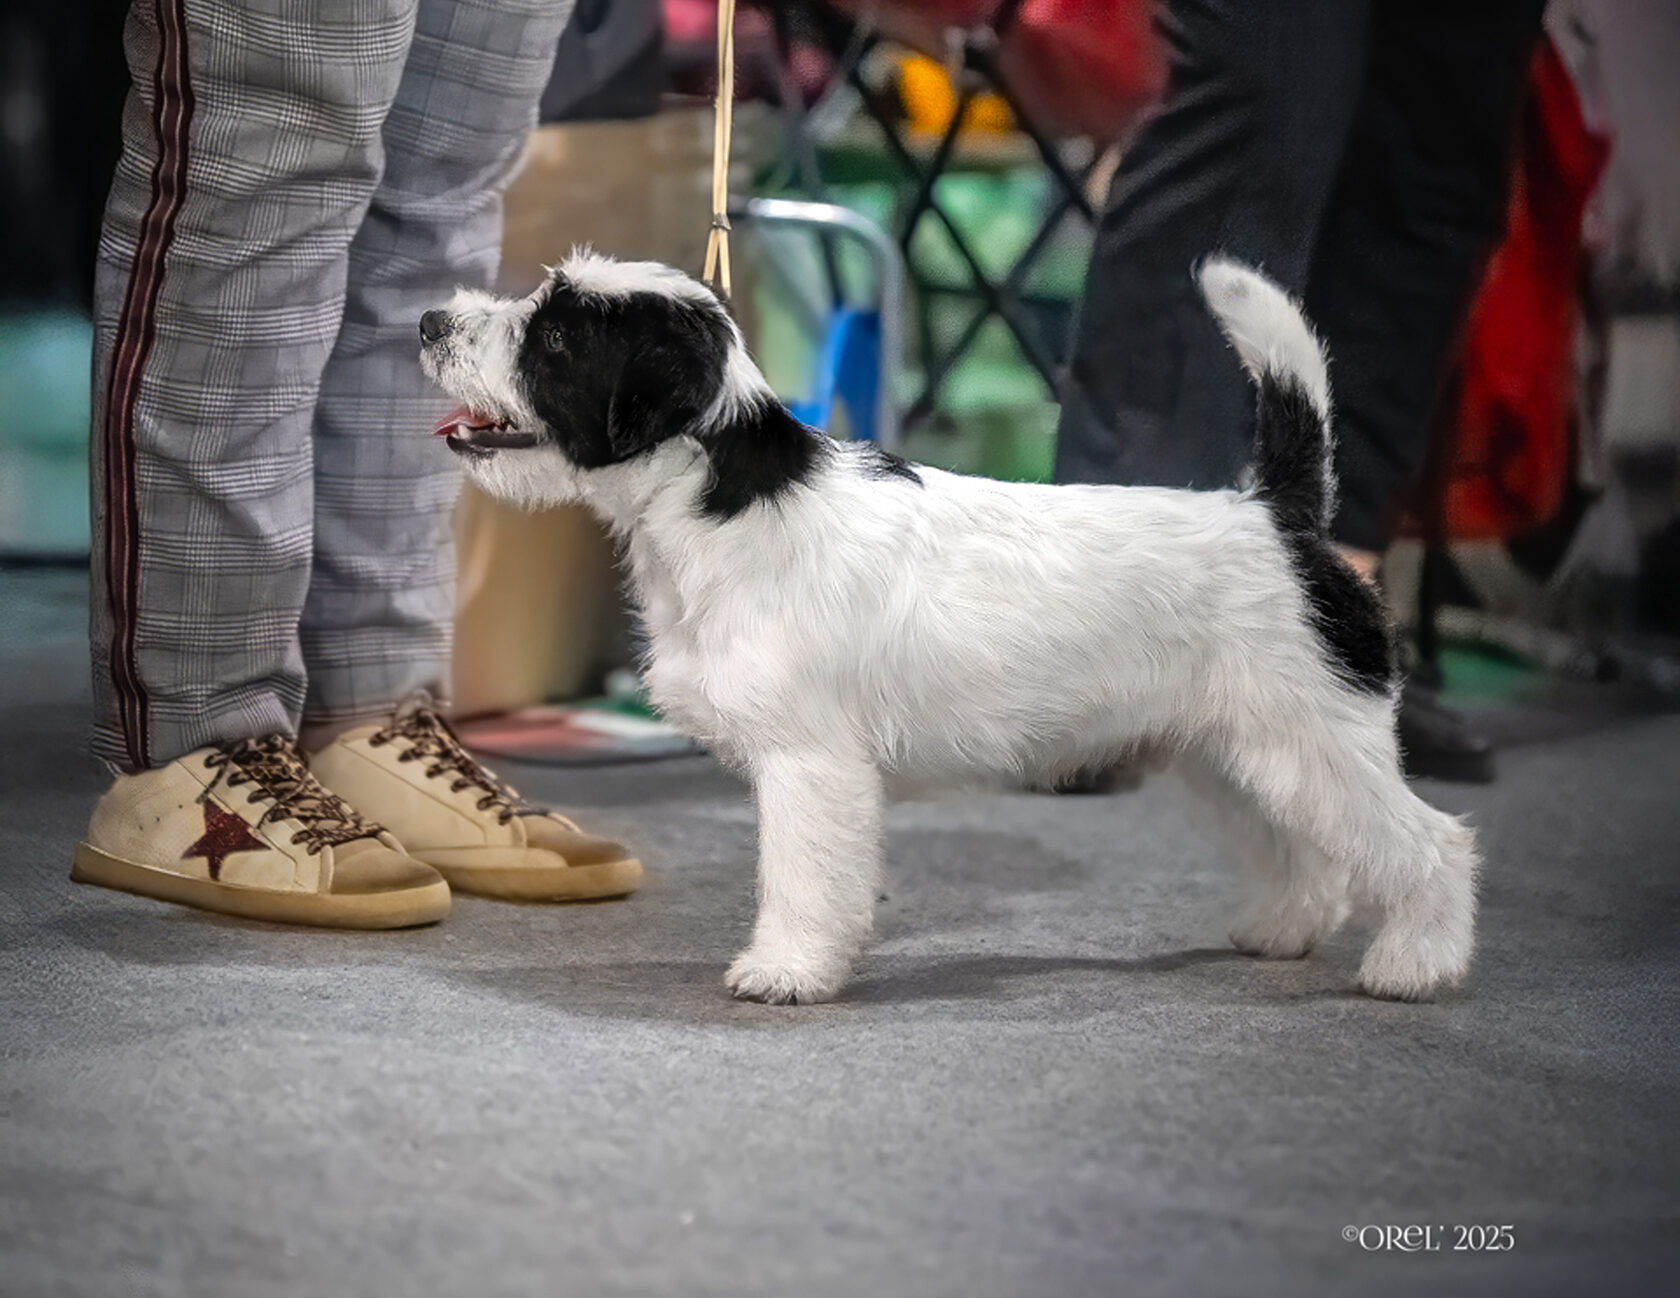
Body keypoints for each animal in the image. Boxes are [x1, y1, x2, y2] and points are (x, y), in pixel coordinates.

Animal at [419, 250, 1478, 1006]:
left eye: (558, 338)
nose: (429, 322)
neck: (722, 500)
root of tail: (1280, 517)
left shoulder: (810, 767)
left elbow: (802, 878)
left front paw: (788, 970)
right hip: (1240, 753)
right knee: (1310, 852)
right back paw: (1286, 929)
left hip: (1312, 741)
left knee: (1431, 844)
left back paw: (1416, 965)